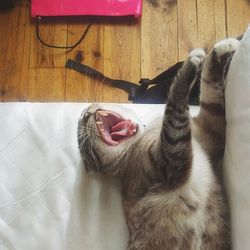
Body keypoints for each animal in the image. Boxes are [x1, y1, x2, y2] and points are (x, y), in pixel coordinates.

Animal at [78, 38, 240, 249]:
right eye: (81, 141)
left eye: (82, 119)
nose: (85, 113)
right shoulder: (173, 163)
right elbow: (174, 105)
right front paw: (191, 65)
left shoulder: (210, 130)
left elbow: (209, 88)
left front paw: (221, 49)